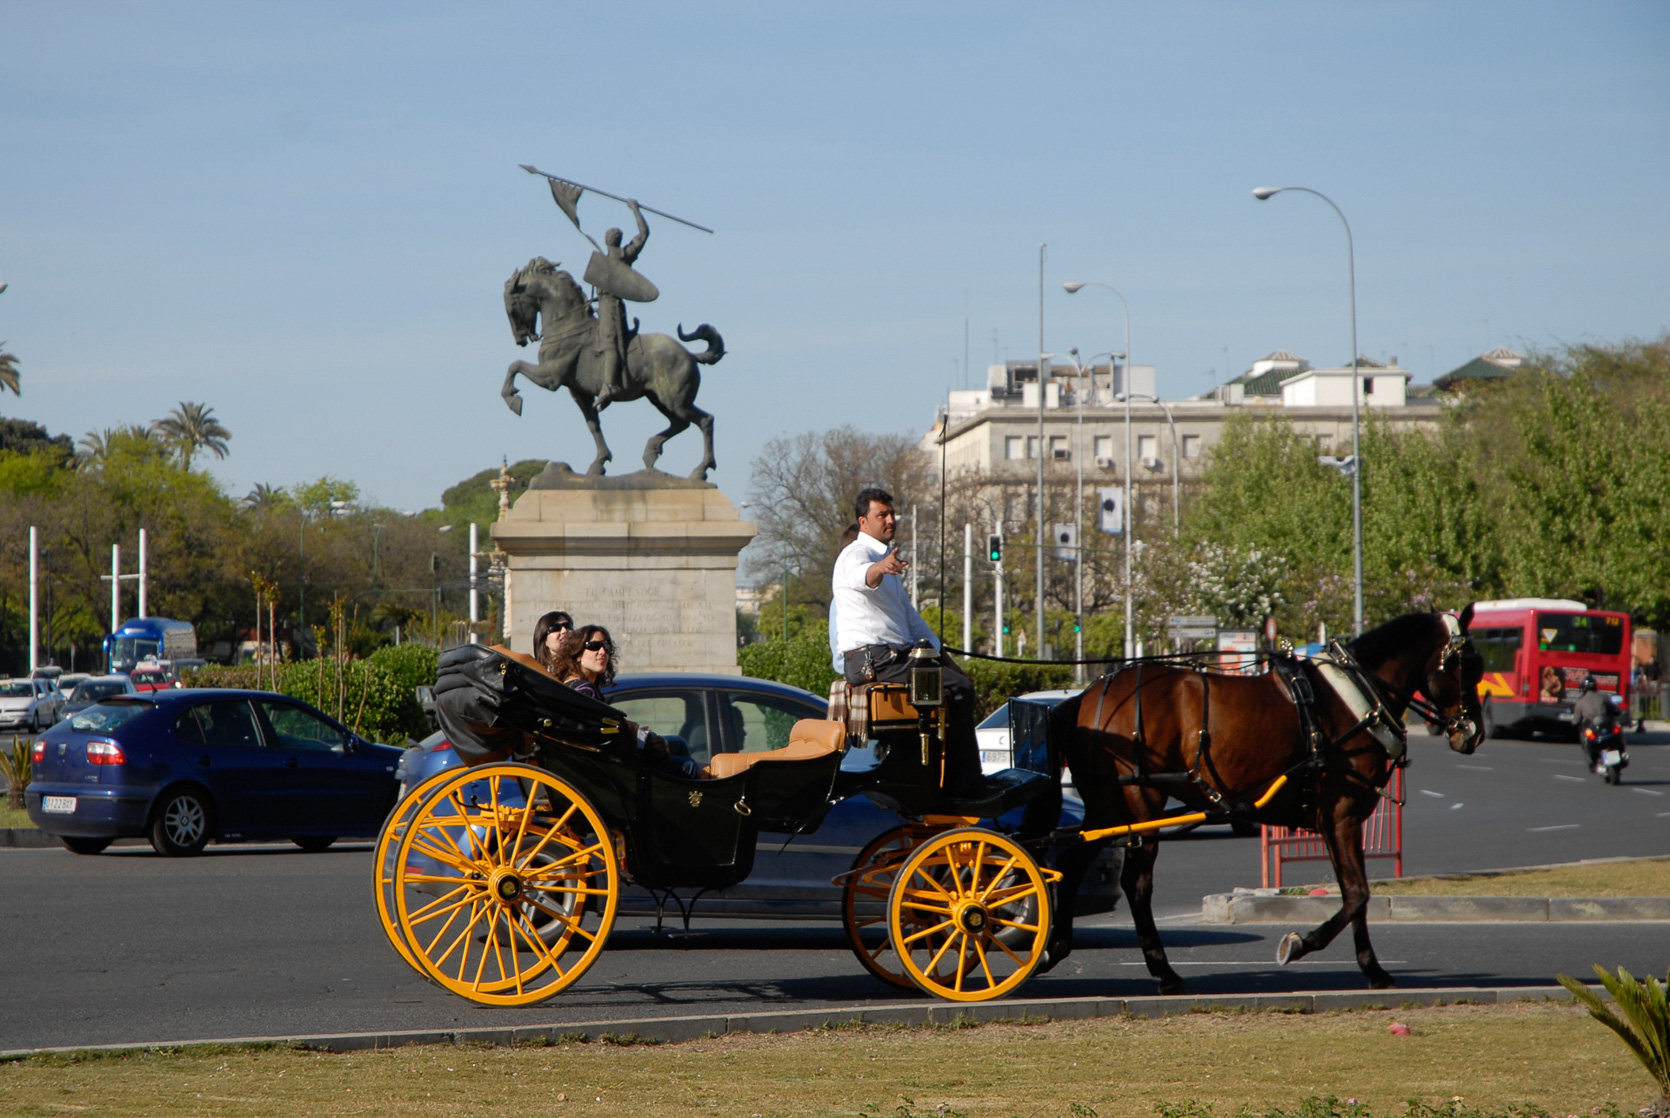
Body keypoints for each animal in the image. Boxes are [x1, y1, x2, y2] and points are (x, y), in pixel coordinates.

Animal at [1048, 604, 1482, 989]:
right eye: (1470, 665)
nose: (1473, 732)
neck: (1355, 699)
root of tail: (1089, 694)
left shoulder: (1339, 822)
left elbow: (1354, 894)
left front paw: (1371, 968)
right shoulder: (1341, 816)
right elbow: (1357, 894)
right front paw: (1302, 944)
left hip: (1106, 808)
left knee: (1071, 863)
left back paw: (1058, 944)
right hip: (1140, 803)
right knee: (1136, 884)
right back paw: (1163, 971)